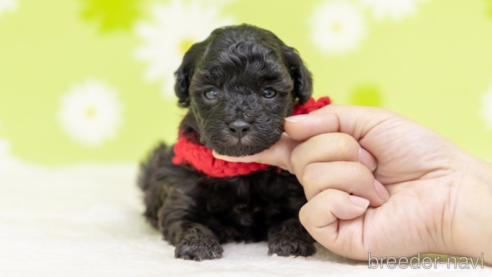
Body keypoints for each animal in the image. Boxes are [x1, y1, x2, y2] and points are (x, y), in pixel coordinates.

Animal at [138, 24, 316, 260]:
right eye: (211, 93)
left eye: (269, 92)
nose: (239, 126)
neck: (238, 171)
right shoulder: (181, 195)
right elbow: (187, 221)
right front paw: (198, 245)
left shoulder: (294, 196)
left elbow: (296, 219)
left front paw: (291, 242)